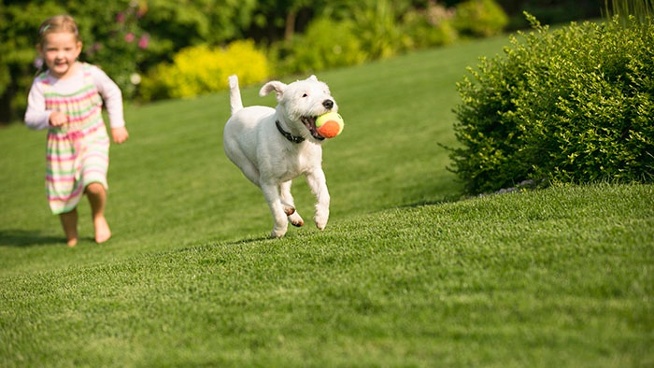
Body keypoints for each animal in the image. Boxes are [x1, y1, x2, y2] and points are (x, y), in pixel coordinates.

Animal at [224, 74, 340, 239]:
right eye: (304, 95)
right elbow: (276, 210)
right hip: (246, 167)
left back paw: (294, 215)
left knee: (285, 193)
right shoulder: (268, 181)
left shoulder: (314, 171)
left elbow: (324, 194)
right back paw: (287, 210)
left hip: (285, 176)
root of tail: (237, 112)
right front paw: (278, 231)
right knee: (267, 189)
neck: (293, 140)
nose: (329, 102)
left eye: (324, 91)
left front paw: (321, 218)